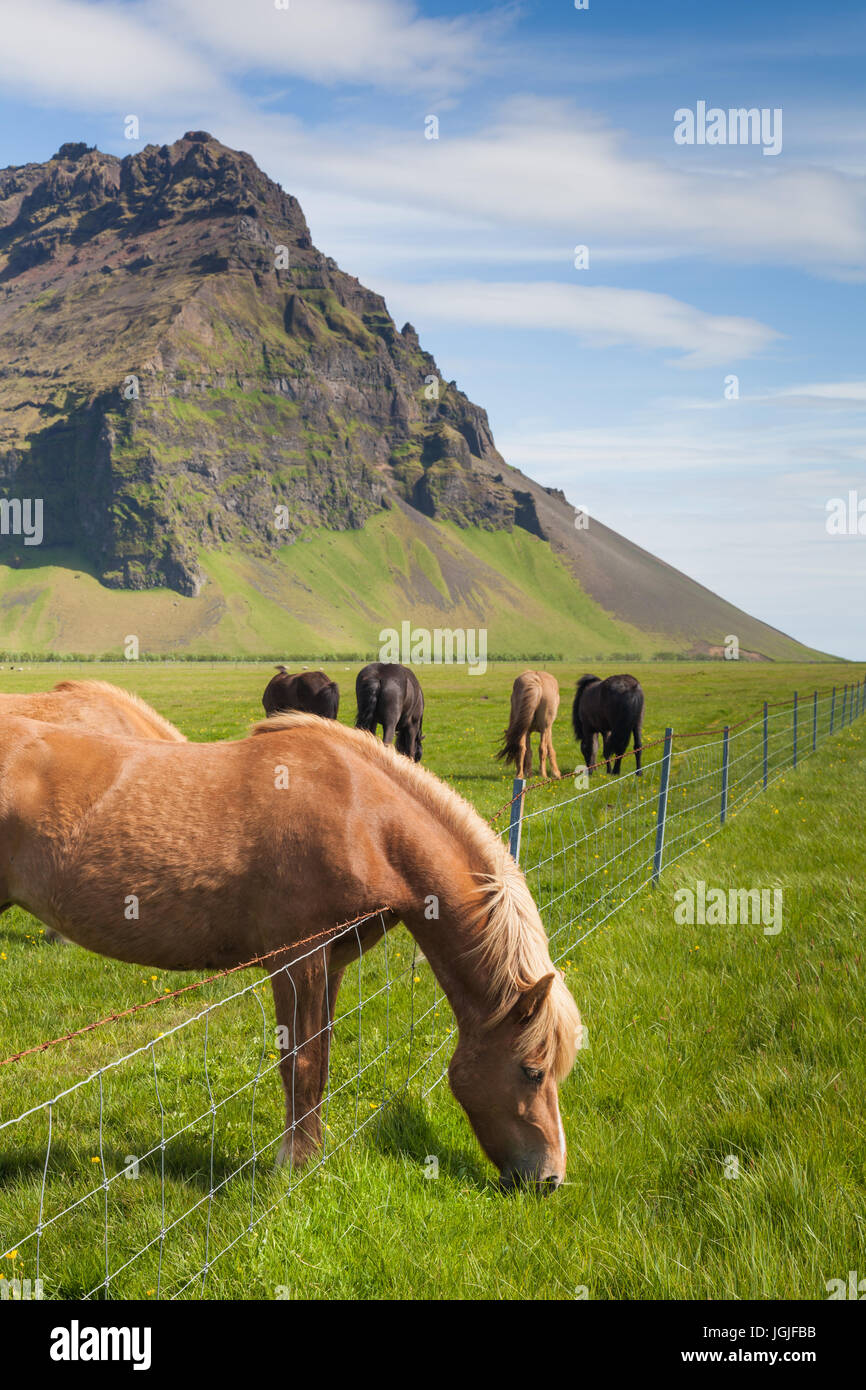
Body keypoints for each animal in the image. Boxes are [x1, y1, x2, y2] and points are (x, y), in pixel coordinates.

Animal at [1, 717, 583, 1184]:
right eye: (532, 1071)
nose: (549, 1179)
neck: (363, 817)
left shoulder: (331, 963)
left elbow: (319, 1058)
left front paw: (311, 1154)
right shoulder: (295, 963)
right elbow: (299, 1063)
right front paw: (294, 1164)